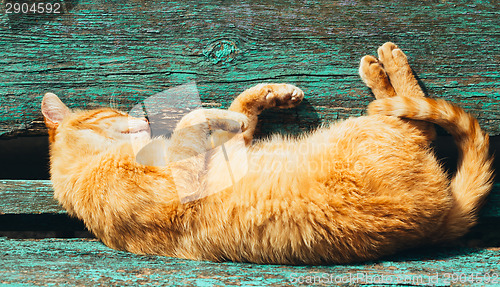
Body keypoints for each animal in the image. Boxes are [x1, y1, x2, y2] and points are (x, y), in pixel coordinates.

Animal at [42, 42, 492, 266]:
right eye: (115, 113)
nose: (144, 116)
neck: (89, 169)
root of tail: (442, 220)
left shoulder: (226, 150)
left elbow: (239, 116)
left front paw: (265, 98)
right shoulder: (184, 177)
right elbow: (195, 119)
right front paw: (218, 113)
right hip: (375, 128)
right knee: (417, 120)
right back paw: (383, 64)